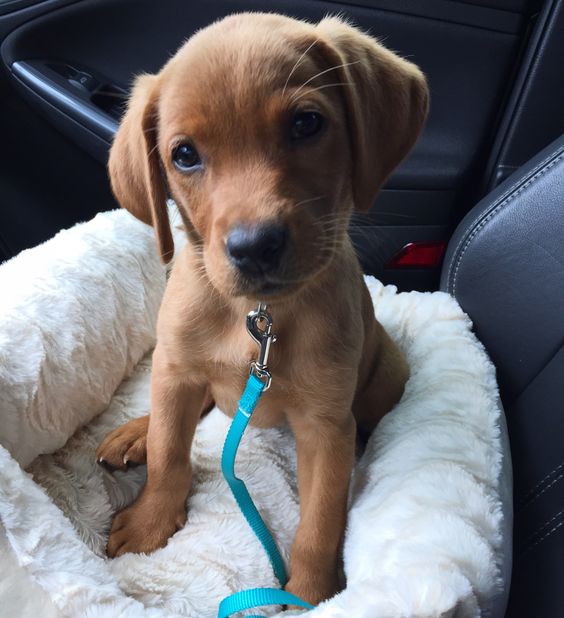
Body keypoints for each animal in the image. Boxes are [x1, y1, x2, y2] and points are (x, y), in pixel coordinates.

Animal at [97, 12, 428, 604]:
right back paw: (136, 430)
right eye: (184, 155)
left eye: (306, 124)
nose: (255, 246)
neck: (257, 316)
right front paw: (151, 521)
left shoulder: (326, 426)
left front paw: (312, 595)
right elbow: (169, 453)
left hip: (387, 375)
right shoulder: (176, 369)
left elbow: (321, 520)